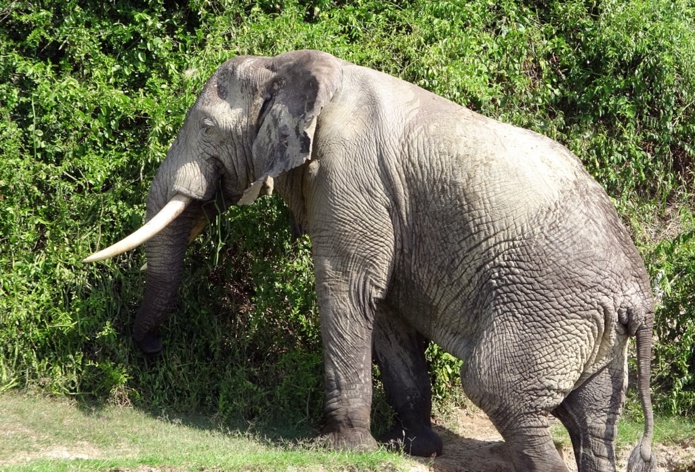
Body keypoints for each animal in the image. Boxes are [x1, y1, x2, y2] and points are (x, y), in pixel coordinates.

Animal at [85, 49, 656, 470]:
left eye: (205, 127)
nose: (154, 349)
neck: (289, 66)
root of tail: (641, 299)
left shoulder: (348, 175)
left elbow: (346, 285)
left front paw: (341, 449)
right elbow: (384, 313)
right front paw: (415, 448)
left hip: (549, 306)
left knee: (497, 388)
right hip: (593, 326)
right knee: (591, 421)